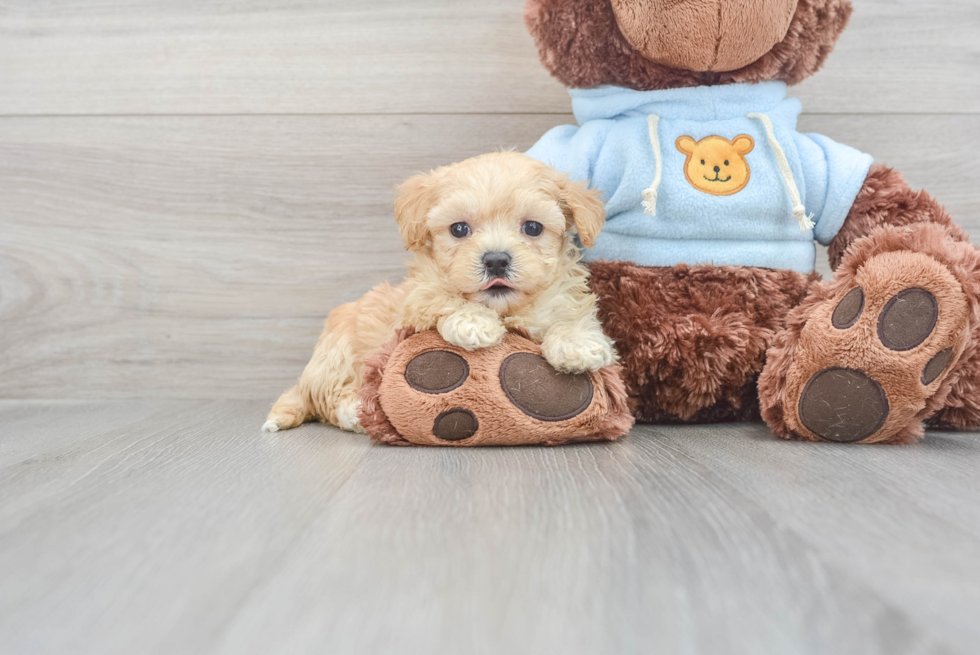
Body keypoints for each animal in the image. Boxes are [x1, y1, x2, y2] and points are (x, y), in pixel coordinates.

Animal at [264, 151, 616, 434]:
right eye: (459, 229)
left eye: (532, 227)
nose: (496, 260)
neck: (503, 308)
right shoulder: (417, 299)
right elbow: (440, 298)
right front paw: (474, 322)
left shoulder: (559, 295)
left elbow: (567, 311)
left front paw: (577, 344)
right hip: (337, 354)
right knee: (329, 399)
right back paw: (356, 412)